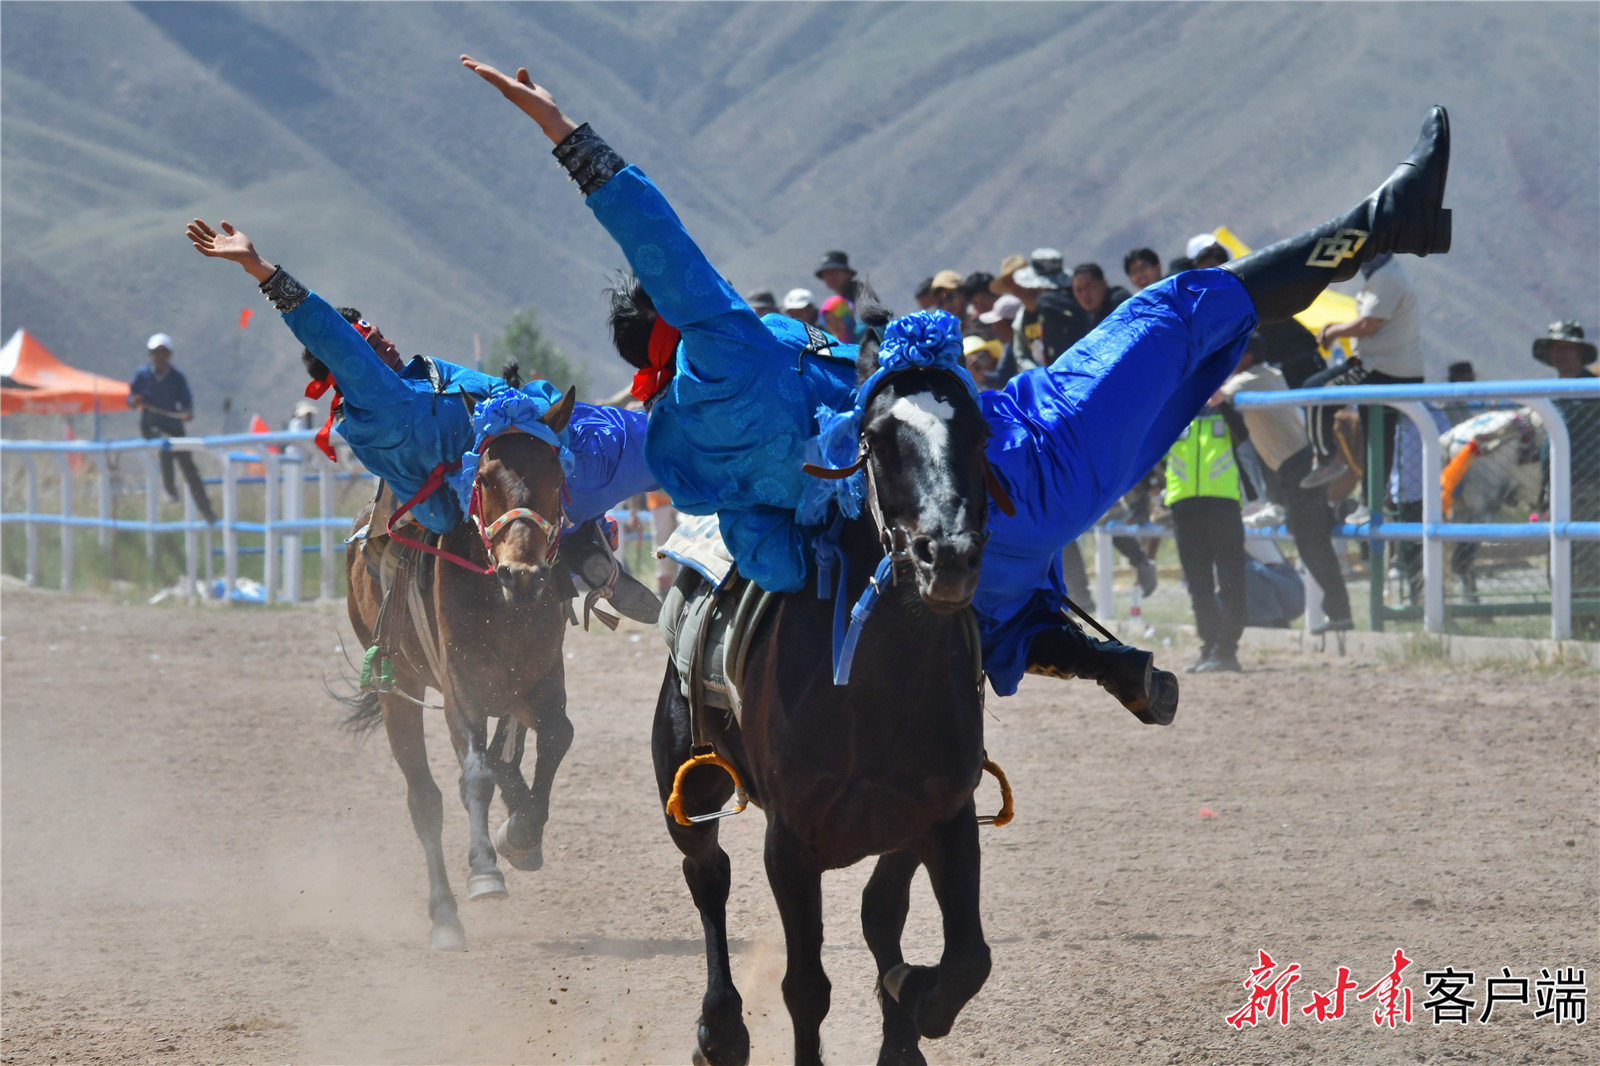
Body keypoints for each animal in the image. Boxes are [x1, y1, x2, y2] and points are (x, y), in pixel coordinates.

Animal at [344, 388, 576, 947]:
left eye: (556, 473)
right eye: (486, 477)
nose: (522, 574)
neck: (503, 605)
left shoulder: (540, 681)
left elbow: (556, 736)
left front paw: (522, 834)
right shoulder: (461, 690)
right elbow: (475, 774)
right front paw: (485, 871)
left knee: (506, 757)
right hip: (396, 690)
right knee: (425, 799)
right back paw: (445, 915)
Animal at [646, 326, 998, 1062]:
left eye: (980, 435)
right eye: (879, 439)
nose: (948, 557)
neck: (875, 696)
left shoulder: (943, 817)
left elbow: (963, 958)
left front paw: (910, 999)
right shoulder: (791, 843)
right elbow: (806, 987)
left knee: (878, 915)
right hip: (685, 779)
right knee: (707, 874)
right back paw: (720, 1029)